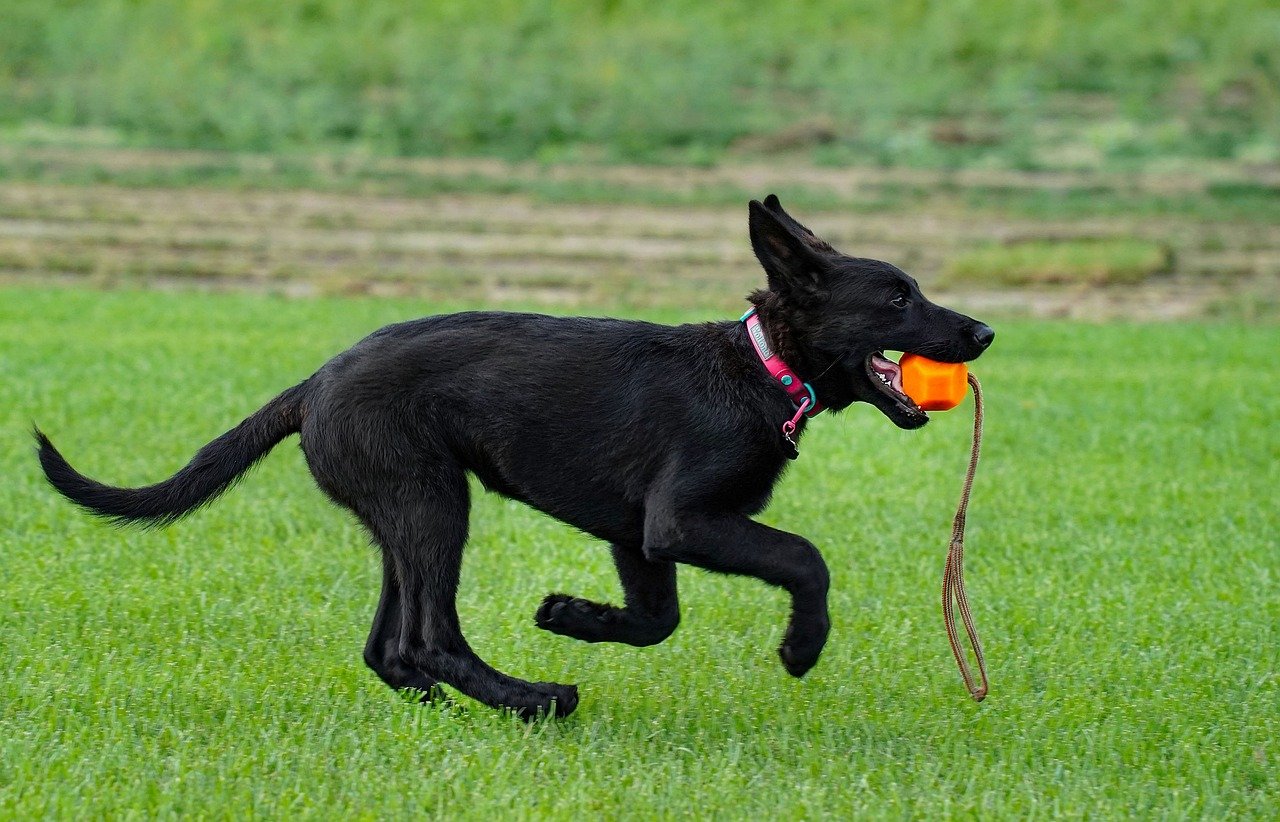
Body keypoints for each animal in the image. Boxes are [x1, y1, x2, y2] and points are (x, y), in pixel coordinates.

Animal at [35, 194, 993, 711]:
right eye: (898, 297)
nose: (984, 332)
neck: (762, 367)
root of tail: (312, 384)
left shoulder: (638, 534)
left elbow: (657, 618)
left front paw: (573, 616)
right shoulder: (681, 521)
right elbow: (805, 558)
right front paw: (802, 647)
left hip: (404, 515)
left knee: (391, 648)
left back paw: (462, 706)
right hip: (432, 503)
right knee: (430, 638)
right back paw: (534, 700)